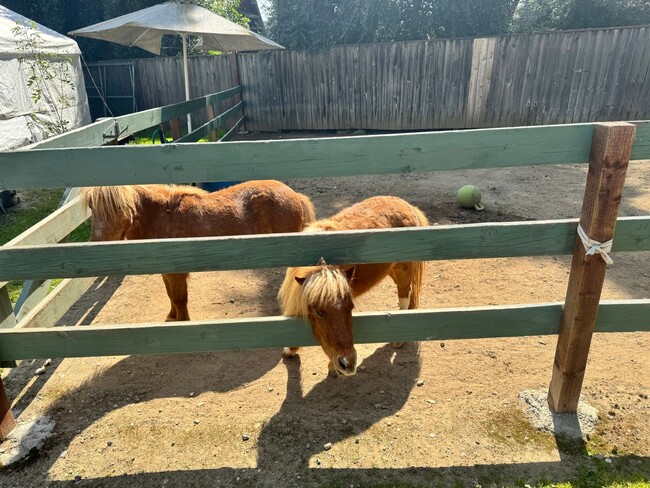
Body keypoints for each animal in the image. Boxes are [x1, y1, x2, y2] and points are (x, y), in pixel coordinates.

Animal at [82, 181, 316, 322]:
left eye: (119, 207)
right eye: (92, 207)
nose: (96, 245)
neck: (162, 217)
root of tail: (294, 195)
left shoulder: (177, 274)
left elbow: (179, 299)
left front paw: (182, 322)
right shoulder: (166, 273)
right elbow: (170, 296)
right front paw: (172, 317)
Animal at [278, 196, 426, 376]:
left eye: (351, 307)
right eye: (319, 312)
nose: (347, 363)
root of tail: (406, 205)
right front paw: (290, 350)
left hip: (403, 271)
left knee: (404, 297)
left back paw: (398, 340)